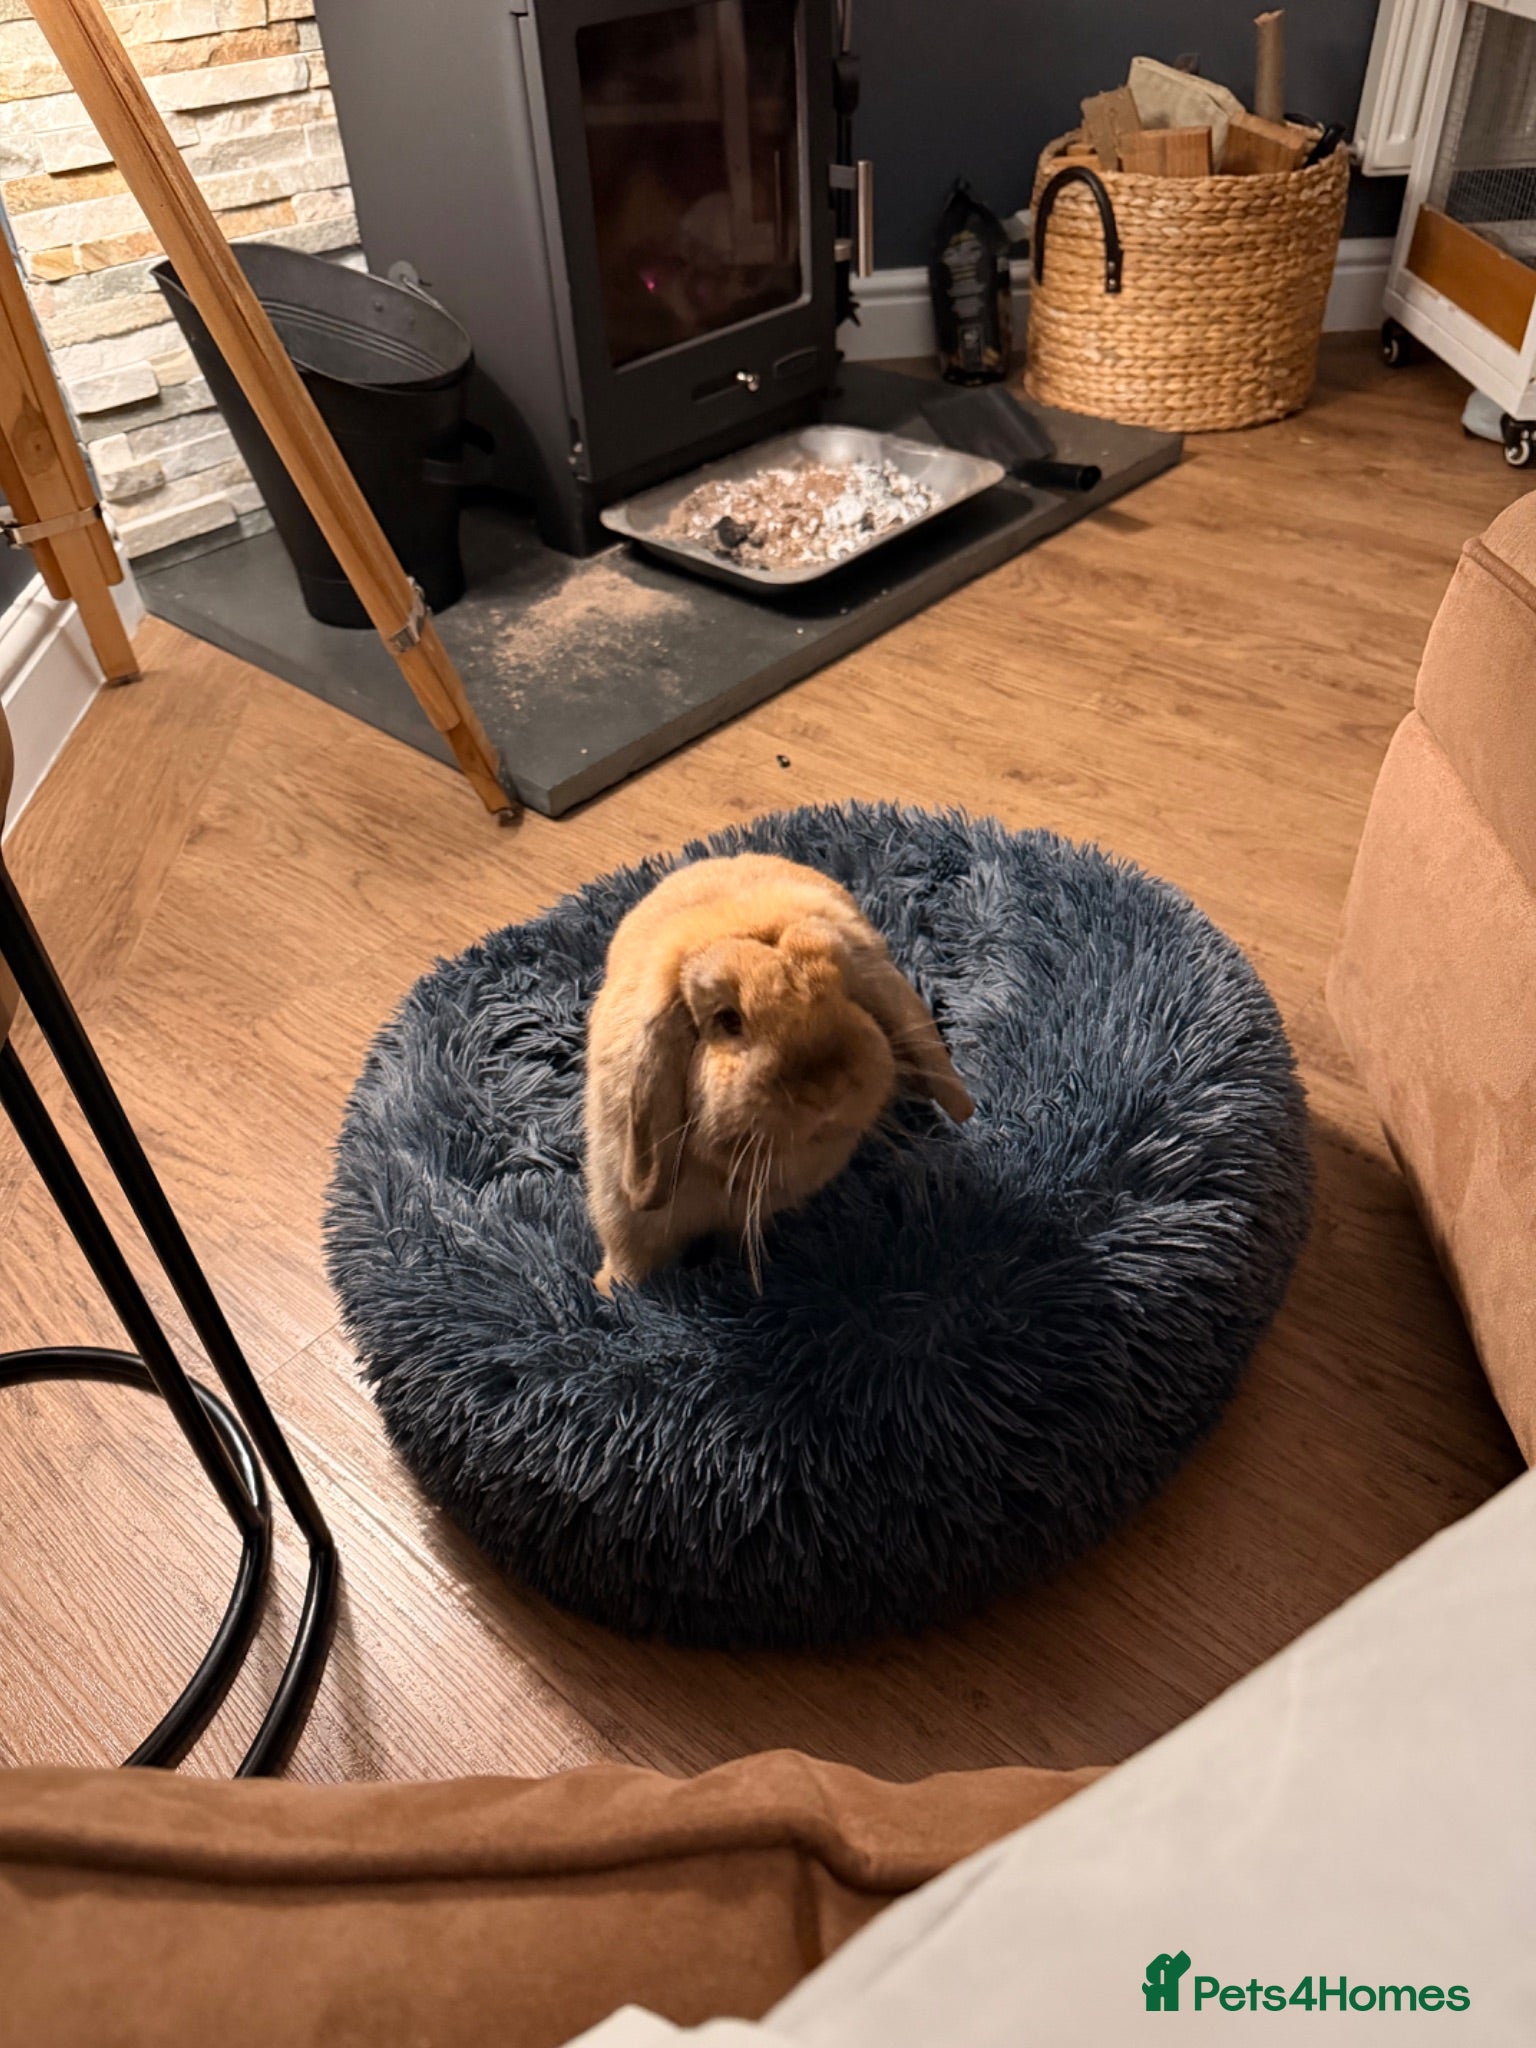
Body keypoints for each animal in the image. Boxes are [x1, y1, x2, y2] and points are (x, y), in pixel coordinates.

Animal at [584, 852, 974, 1293]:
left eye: (845, 989)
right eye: (728, 1019)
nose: (827, 1088)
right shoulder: (627, 1220)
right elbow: (630, 1262)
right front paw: (609, 1293)